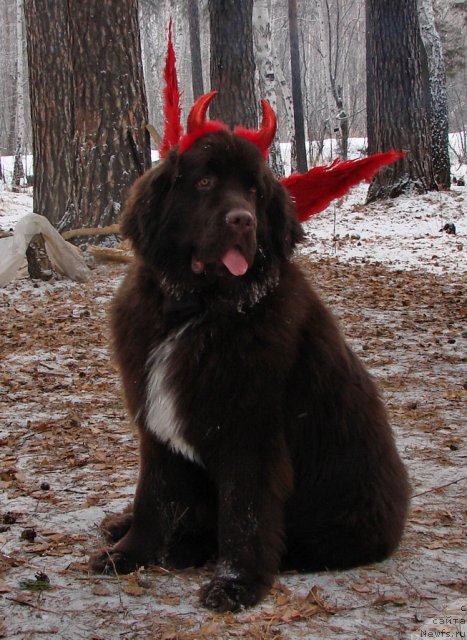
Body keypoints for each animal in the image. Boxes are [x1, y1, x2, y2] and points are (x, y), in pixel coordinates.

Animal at [90, 106, 410, 608]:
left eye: (254, 191)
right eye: (204, 182)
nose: (242, 221)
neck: (197, 310)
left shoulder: (249, 435)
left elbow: (244, 515)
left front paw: (235, 585)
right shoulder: (155, 428)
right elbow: (151, 498)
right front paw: (128, 554)